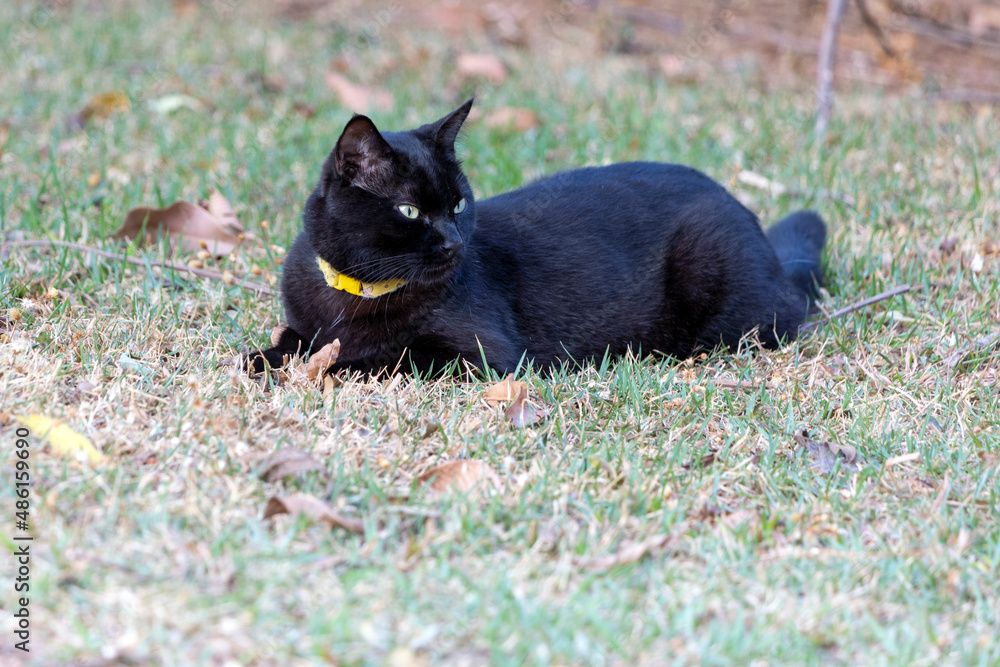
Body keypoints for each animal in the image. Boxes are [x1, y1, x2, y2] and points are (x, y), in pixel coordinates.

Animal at [246, 99, 826, 376]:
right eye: (410, 211)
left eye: (458, 205)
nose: (455, 243)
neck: (355, 292)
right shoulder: (307, 323)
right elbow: (293, 341)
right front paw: (264, 358)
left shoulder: (481, 355)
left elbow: (382, 359)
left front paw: (325, 366)